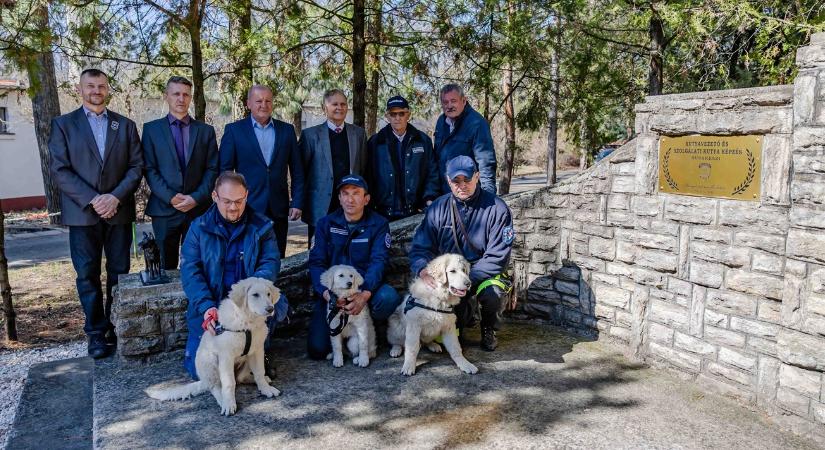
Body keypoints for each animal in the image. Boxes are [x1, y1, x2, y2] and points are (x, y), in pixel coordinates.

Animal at [143, 276, 282, 416]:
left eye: (268, 294)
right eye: (255, 295)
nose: (270, 309)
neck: (247, 322)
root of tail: (204, 380)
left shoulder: (257, 350)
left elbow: (259, 371)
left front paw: (266, 389)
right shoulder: (226, 356)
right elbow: (229, 383)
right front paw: (229, 404)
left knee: (241, 378)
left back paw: (263, 379)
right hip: (210, 362)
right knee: (216, 386)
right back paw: (223, 400)